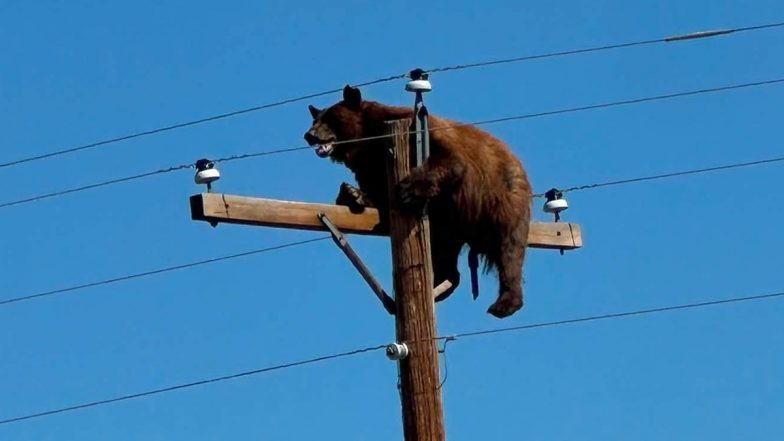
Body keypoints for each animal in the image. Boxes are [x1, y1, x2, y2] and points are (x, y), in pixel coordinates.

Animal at [304, 85, 532, 318]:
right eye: (315, 119)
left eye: (331, 118)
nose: (309, 135)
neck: (367, 139)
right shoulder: (370, 162)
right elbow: (376, 189)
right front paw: (352, 194)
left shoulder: (419, 131)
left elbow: (450, 160)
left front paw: (406, 190)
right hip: (448, 224)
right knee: (444, 253)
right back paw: (439, 285)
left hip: (502, 198)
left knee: (509, 249)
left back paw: (504, 303)